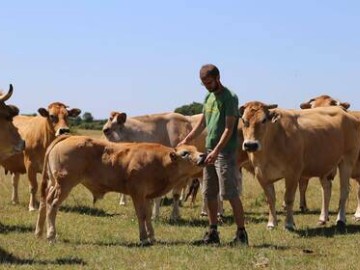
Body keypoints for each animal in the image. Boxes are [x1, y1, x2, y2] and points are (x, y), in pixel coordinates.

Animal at [35, 135, 207, 245]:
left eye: (195, 149)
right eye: (185, 153)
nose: (203, 156)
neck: (160, 162)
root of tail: (69, 137)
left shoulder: (146, 196)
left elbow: (148, 216)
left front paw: (152, 237)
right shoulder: (137, 193)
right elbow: (142, 215)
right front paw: (144, 238)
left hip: (54, 183)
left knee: (44, 201)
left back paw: (39, 232)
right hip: (65, 184)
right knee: (53, 204)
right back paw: (51, 235)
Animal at [239, 101, 360, 230]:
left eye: (263, 120)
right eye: (244, 121)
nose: (251, 145)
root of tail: (345, 111)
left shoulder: (293, 173)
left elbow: (288, 198)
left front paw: (289, 224)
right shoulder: (261, 174)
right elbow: (270, 199)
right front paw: (271, 223)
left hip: (346, 161)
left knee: (344, 190)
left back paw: (341, 219)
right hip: (325, 164)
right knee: (326, 190)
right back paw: (323, 218)